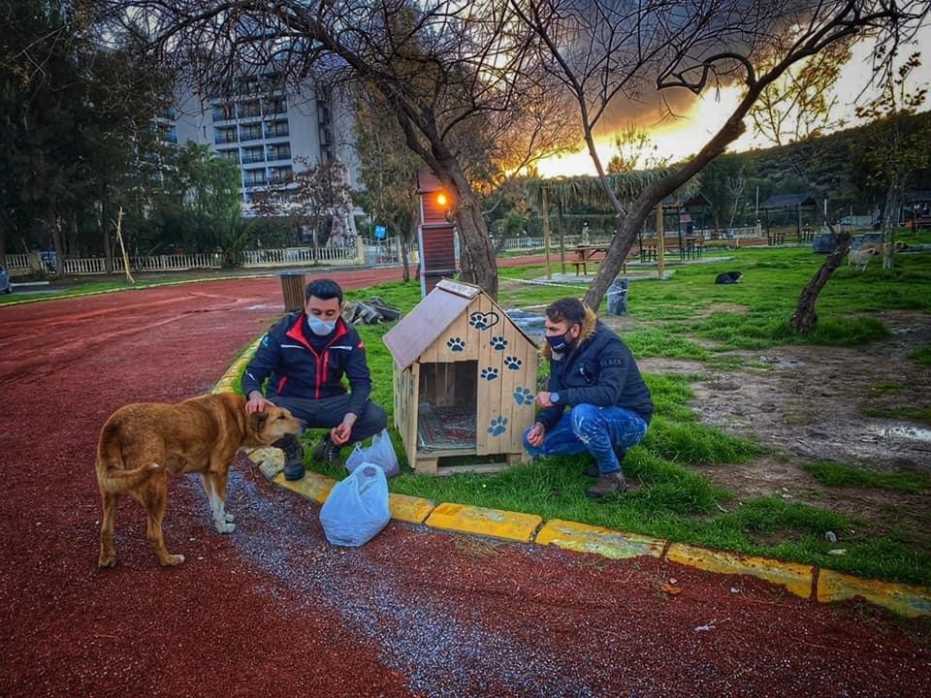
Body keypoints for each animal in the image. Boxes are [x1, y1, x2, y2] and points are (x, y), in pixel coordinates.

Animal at [95, 392, 300, 564]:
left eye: (289, 414)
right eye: (281, 417)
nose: (304, 422)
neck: (240, 416)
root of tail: (114, 424)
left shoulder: (206, 474)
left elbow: (215, 503)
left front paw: (221, 519)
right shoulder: (220, 472)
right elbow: (220, 501)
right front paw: (223, 528)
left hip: (111, 489)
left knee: (105, 529)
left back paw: (107, 559)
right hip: (157, 485)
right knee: (153, 533)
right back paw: (169, 560)